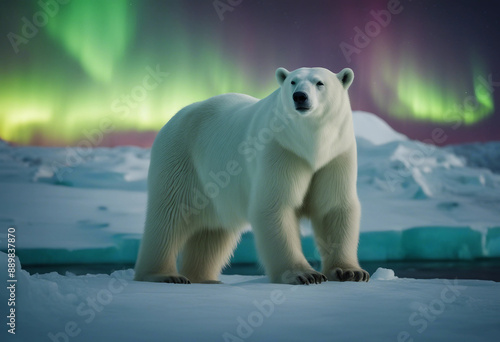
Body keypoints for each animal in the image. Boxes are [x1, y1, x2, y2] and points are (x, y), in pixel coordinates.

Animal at [135, 66, 370, 284]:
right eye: (293, 82)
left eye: (319, 83)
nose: (300, 96)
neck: (311, 145)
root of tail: (173, 118)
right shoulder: (281, 150)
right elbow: (275, 205)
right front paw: (305, 275)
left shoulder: (336, 155)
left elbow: (334, 206)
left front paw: (351, 272)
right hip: (180, 160)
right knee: (170, 215)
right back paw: (164, 275)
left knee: (213, 231)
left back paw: (204, 277)